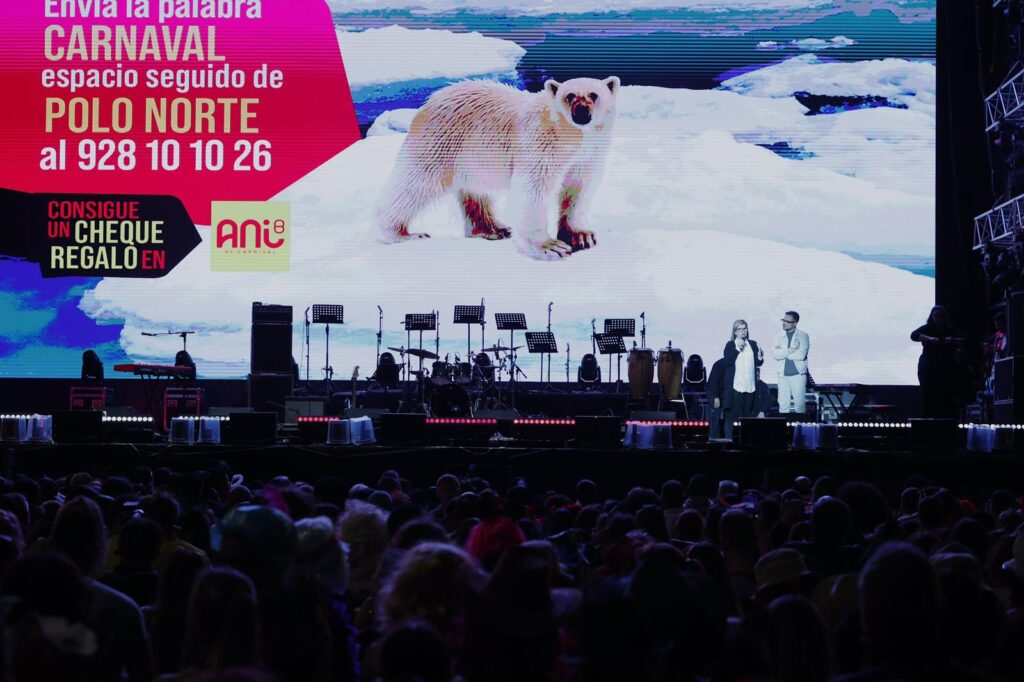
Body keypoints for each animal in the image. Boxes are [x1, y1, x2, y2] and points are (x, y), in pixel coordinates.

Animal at [374, 75, 614, 259]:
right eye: (569, 95)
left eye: (594, 95)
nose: (581, 112)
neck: (571, 136)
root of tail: (430, 101)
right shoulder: (541, 143)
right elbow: (533, 190)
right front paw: (549, 247)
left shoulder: (587, 155)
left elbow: (578, 188)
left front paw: (580, 236)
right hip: (442, 141)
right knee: (416, 183)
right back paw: (401, 233)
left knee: (475, 191)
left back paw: (494, 229)